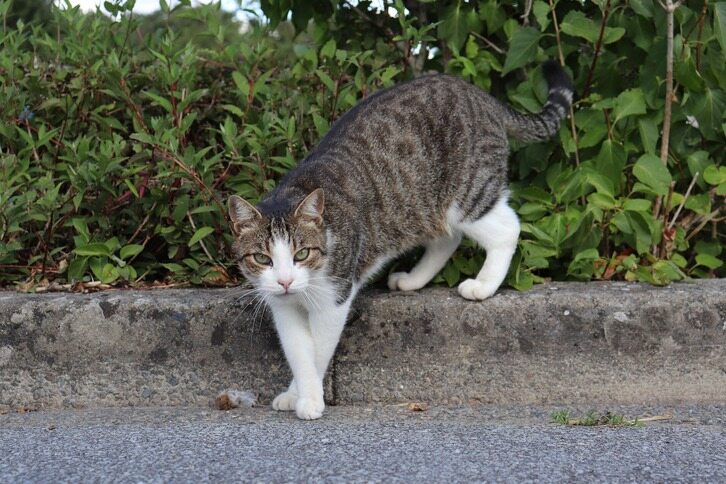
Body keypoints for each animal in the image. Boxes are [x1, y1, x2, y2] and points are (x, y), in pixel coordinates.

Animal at [228, 60, 573, 420]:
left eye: (302, 253)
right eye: (263, 258)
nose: (284, 281)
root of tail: (481, 96)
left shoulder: (333, 298)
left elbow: (318, 353)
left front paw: (308, 399)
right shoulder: (283, 308)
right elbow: (299, 353)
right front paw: (293, 393)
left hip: (468, 195)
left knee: (507, 228)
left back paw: (483, 285)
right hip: (422, 207)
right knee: (446, 239)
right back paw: (413, 280)